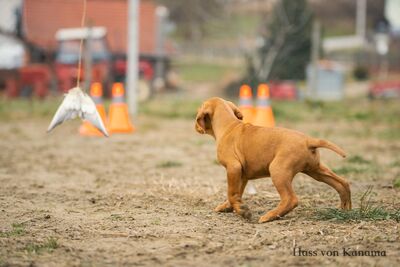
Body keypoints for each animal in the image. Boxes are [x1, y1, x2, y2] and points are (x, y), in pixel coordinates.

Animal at [195, 97, 352, 223]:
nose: (195, 127)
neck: (229, 126)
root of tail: (308, 140)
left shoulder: (233, 167)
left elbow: (231, 193)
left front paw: (242, 211)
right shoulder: (241, 175)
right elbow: (236, 193)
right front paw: (231, 207)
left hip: (278, 170)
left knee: (291, 199)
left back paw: (269, 216)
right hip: (316, 170)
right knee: (342, 183)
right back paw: (346, 208)